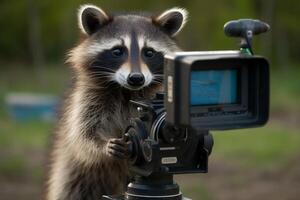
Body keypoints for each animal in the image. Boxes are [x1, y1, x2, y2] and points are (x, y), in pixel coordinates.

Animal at [45, 4, 188, 200]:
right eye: (117, 51)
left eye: (149, 52)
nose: (136, 78)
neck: (126, 90)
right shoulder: (88, 98)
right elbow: (83, 134)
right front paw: (102, 145)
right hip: (74, 172)